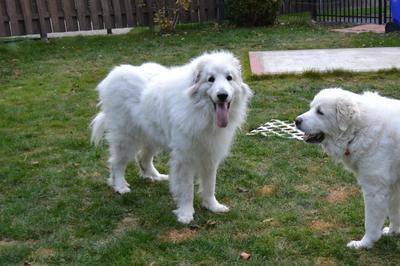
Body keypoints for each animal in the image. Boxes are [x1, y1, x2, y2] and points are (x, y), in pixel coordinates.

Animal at [92, 51, 252, 223]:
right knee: (117, 163)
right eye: (211, 79)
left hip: (152, 136)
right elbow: (187, 189)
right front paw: (186, 214)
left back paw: (155, 176)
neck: (202, 113)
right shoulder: (185, 158)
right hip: (126, 137)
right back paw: (120, 186)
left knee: (142, 158)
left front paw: (212, 206)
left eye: (229, 78)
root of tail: (112, 75)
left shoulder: (210, 154)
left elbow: (210, 185)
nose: (222, 95)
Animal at [296, 88, 400, 249]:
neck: (359, 129)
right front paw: (392, 232)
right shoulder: (393, 184)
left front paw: (364, 243)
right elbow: (395, 211)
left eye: (320, 112)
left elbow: (370, 222)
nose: (296, 121)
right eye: (311, 108)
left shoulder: (374, 189)